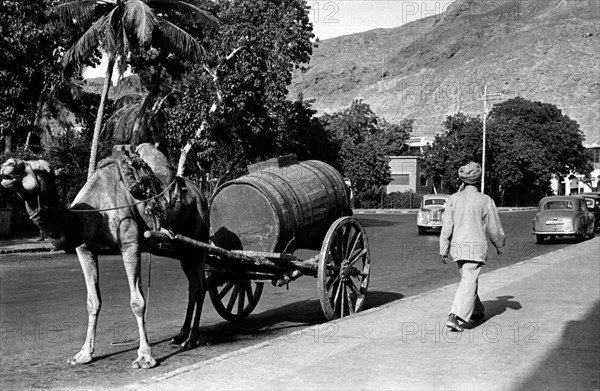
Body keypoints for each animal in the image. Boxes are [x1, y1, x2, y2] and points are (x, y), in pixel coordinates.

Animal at [0, 143, 210, 368]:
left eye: (41, 170)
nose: (7, 164)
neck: (95, 213)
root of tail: (201, 193)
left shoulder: (130, 244)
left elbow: (137, 301)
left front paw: (145, 356)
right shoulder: (85, 249)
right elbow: (93, 302)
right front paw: (83, 354)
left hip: (199, 241)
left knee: (200, 286)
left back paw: (192, 339)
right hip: (180, 249)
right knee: (193, 286)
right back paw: (181, 335)